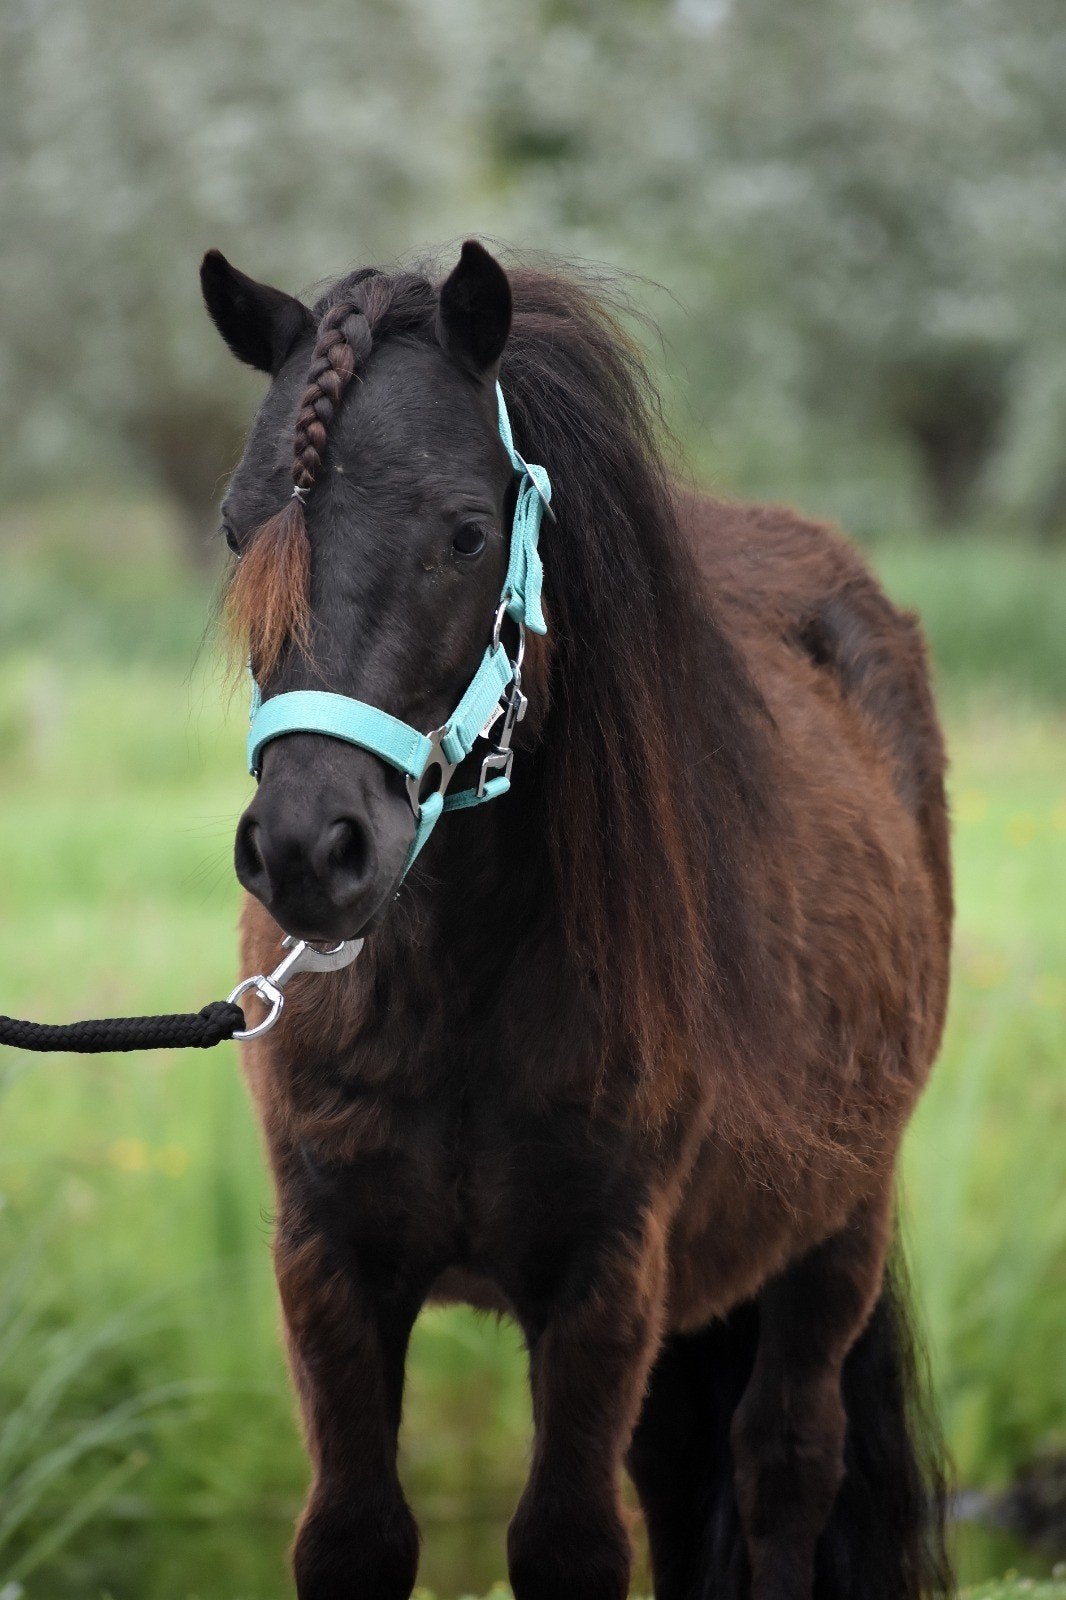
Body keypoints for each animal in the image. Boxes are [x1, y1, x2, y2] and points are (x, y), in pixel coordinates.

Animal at [200, 238, 954, 1600]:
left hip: (834, 1232)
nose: (306, 851)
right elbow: (354, 1533)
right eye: (240, 532)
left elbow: (567, 1544)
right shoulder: (329, 1262)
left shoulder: (603, 1275)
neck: (458, 989)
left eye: (463, 531)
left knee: (783, 1464)